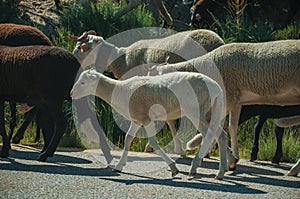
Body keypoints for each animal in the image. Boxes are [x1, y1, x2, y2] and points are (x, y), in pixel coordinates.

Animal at [71, 28, 224, 155]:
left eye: (79, 49)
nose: (74, 61)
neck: (121, 58)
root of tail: (217, 42)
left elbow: (166, 120)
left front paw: (158, 146)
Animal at [71, 69, 230, 179]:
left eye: (83, 82)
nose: (71, 94)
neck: (120, 92)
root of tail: (217, 89)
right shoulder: (137, 119)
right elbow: (128, 138)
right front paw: (119, 166)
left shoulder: (146, 118)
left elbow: (153, 142)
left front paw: (173, 168)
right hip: (212, 111)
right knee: (221, 135)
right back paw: (220, 172)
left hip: (196, 110)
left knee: (209, 135)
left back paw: (194, 168)